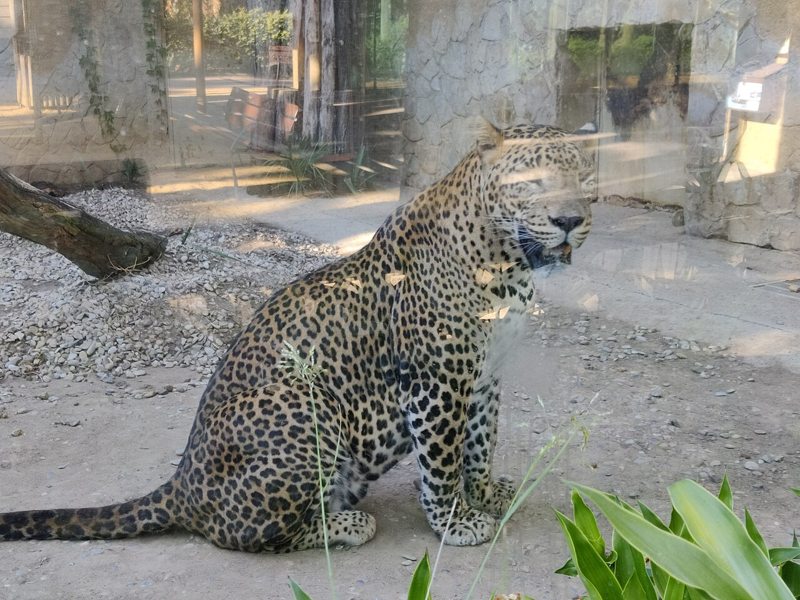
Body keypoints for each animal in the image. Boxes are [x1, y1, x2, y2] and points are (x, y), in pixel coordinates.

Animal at [0, 121, 594, 552]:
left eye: (585, 179)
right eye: (532, 183)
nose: (570, 221)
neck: (510, 262)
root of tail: (180, 483)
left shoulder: (486, 374)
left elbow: (480, 441)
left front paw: (486, 493)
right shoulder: (436, 380)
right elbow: (443, 460)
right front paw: (456, 522)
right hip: (304, 402)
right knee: (247, 535)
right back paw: (347, 526)